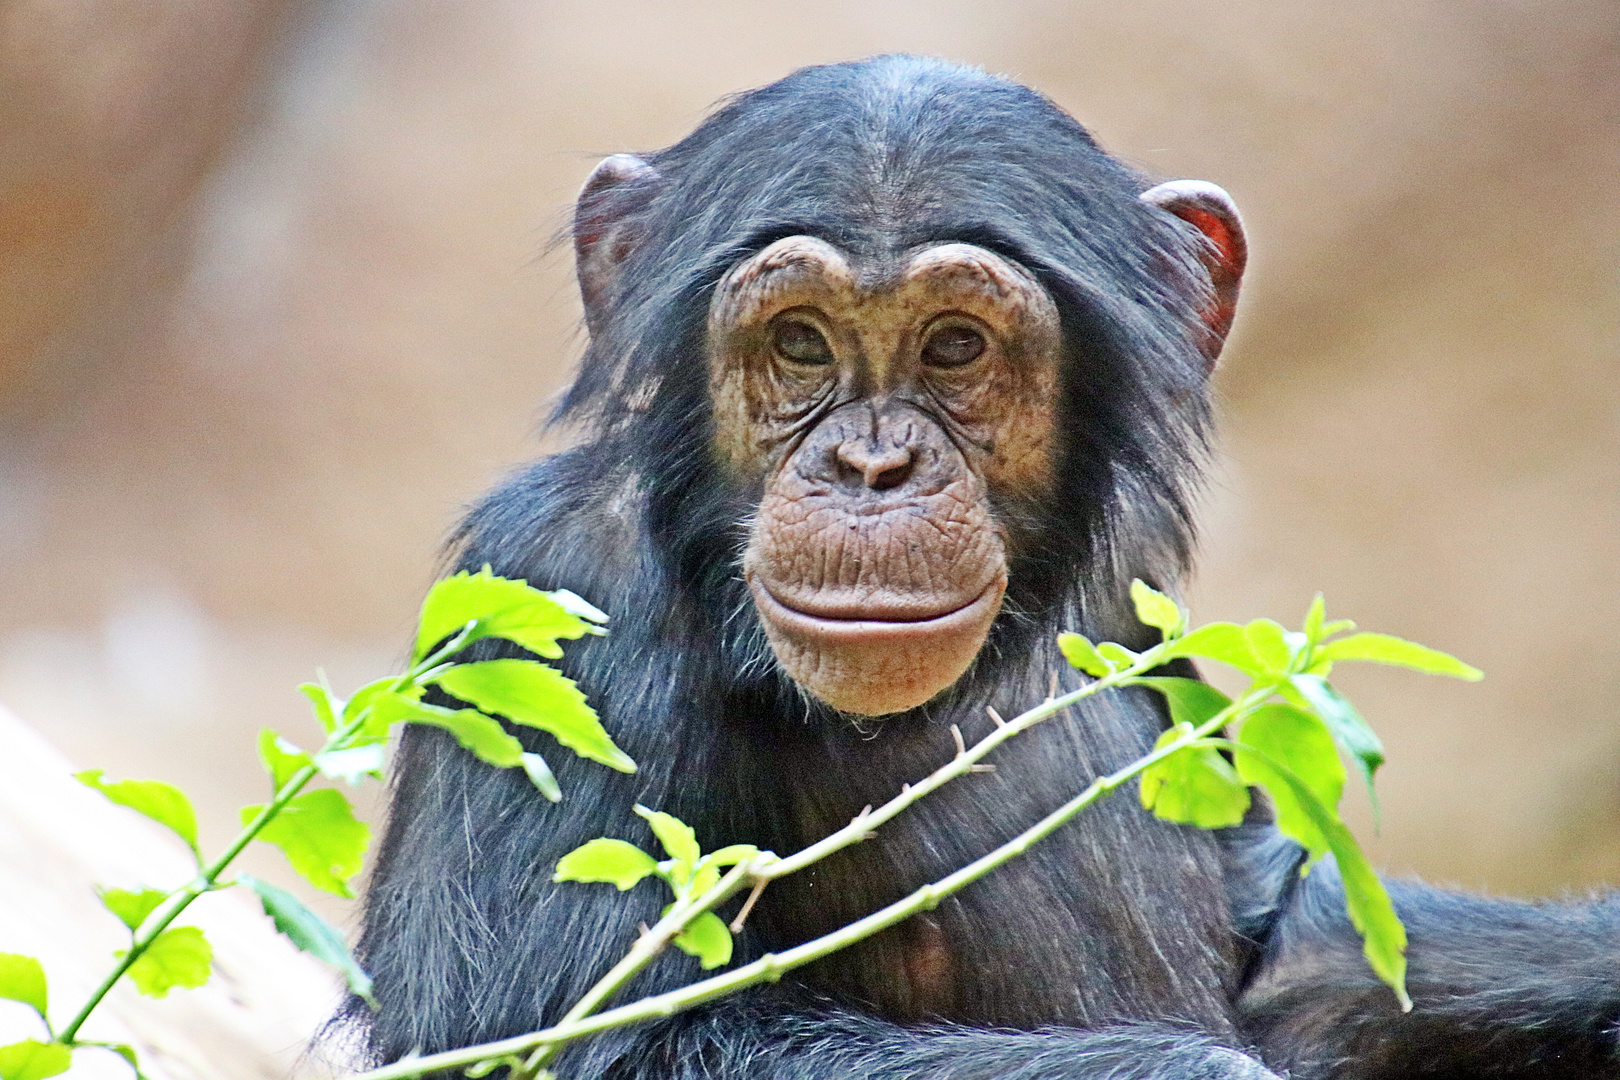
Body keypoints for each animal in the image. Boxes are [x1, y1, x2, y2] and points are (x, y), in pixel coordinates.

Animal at [351, 55, 1620, 1075]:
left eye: (956, 346)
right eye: (799, 343)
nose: (873, 465)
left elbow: (1287, 942)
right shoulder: (556, 590)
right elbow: (573, 1039)